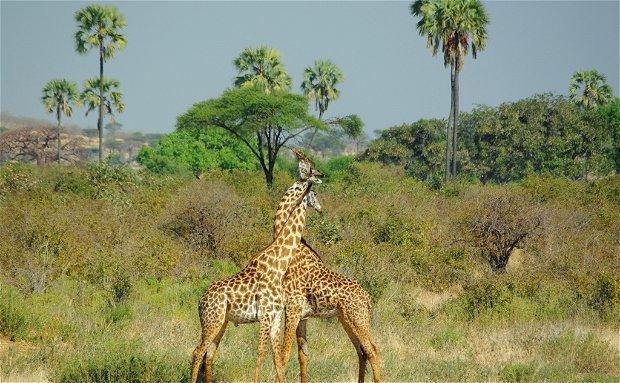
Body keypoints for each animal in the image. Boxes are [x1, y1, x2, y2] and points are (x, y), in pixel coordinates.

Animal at [191, 164, 322, 383]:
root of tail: (201, 301)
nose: (320, 208)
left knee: (209, 353)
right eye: (314, 192)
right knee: (197, 351)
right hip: (212, 321)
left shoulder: (276, 317)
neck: (279, 264)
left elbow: (277, 358)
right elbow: (261, 354)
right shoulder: (266, 315)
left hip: (221, 322)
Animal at [278, 150, 382, 383]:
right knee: (361, 350)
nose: (320, 207)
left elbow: (283, 355)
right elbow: (302, 354)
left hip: (358, 318)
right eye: (310, 168)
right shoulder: (301, 315)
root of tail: (369, 299)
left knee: (372, 349)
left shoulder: (293, 309)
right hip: (346, 318)